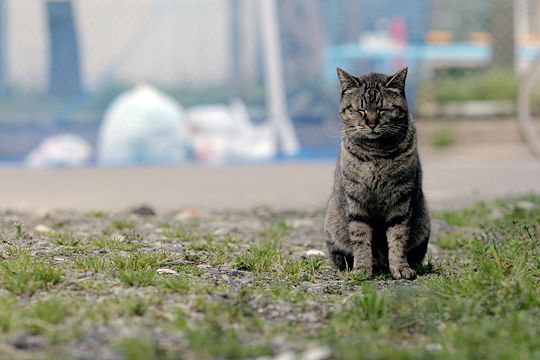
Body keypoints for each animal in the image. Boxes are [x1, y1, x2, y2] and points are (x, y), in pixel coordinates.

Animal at [324, 68, 430, 282]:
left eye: (382, 110)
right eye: (361, 110)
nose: (372, 123)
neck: (376, 153)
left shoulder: (401, 201)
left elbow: (398, 238)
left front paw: (400, 268)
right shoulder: (355, 201)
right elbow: (360, 238)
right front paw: (362, 269)